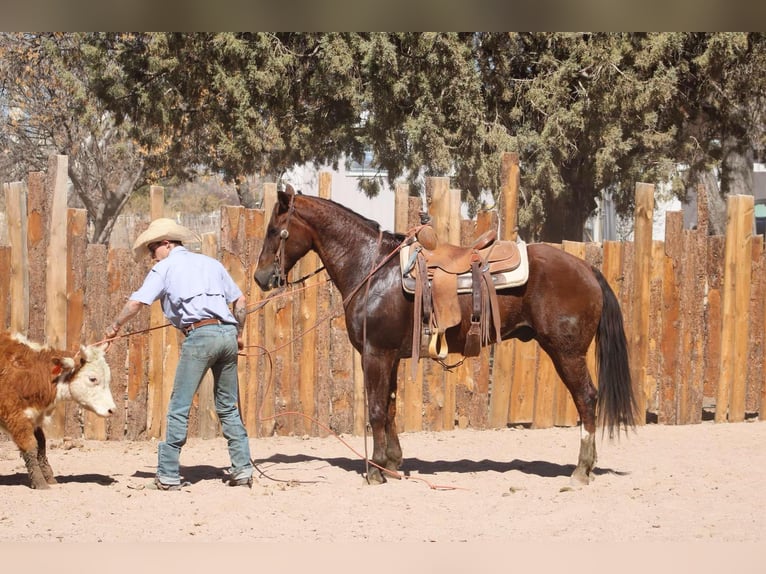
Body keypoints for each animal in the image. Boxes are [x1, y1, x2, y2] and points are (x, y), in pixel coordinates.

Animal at [254, 187, 637, 486]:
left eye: (275, 230)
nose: (260, 277)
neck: (372, 268)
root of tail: (587, 268)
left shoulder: (375, 353)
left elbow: (376, 409)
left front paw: (376, 471)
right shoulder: (391, 355)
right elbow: (390, 407)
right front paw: (392, 463)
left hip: (567, 353)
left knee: (587, 398)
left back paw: (582, 469)